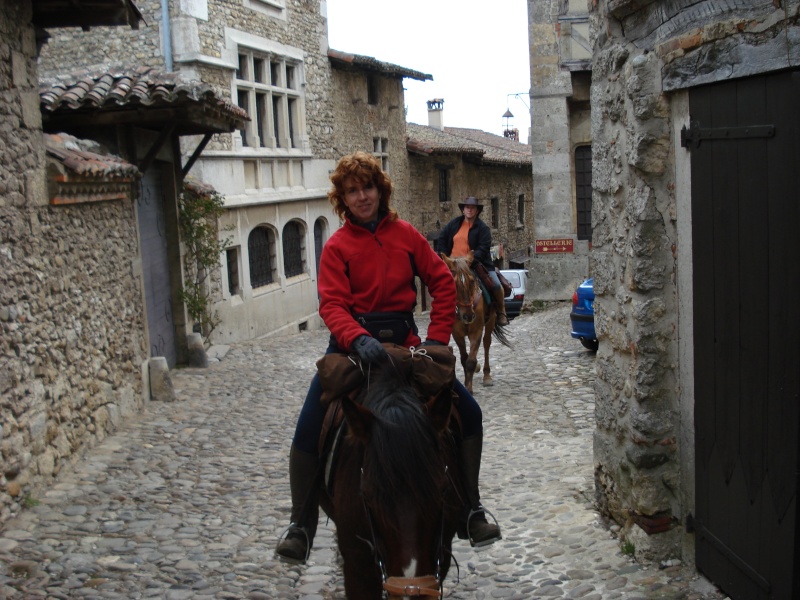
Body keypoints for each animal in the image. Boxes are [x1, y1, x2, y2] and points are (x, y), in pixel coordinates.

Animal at [438, 252, 512, 394]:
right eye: (453, 283)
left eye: (472, 281)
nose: (468, 316)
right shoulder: (457, 334)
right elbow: (463, 359)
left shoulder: (476, 331)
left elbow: (470, 361)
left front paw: (469, 388)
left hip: (491, 320)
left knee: (487, 343)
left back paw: (487, 376)